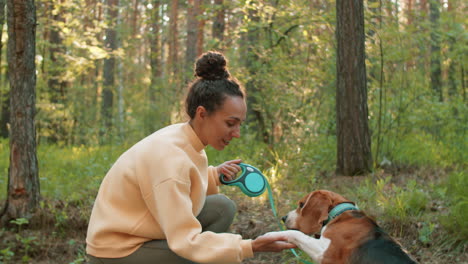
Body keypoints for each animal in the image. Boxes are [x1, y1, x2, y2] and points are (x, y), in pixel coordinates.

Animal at [270, 190, 416, 264]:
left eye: (301, 205)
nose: (283, 218)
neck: (338, 214)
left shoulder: (325, 254)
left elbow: (296, 234)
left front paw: (274, 234)